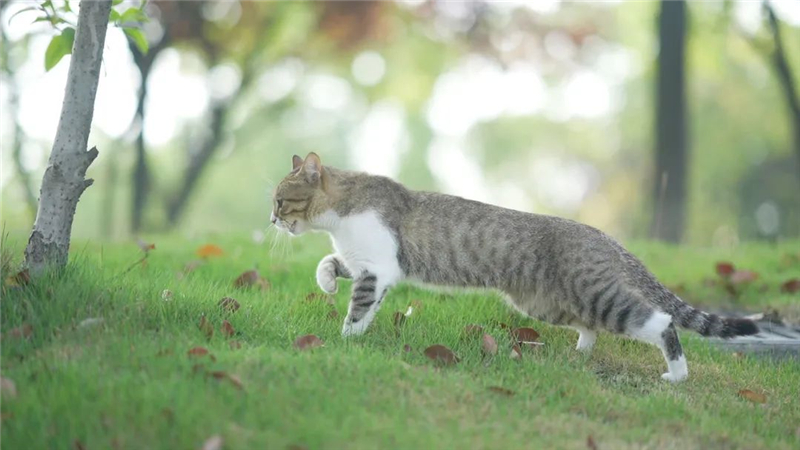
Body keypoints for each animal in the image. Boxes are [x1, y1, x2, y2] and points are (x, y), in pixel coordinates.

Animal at [271, 153, 758, 382]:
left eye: (278, 200)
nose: (271, 220)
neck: (342, 211)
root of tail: (605, 237)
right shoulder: (364, 263)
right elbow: (329, 263)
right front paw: (327, 283)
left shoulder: (379, 269)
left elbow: (359, 309)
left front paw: (345, 342)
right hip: (546, 304)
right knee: (590, 327)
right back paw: (578, 353)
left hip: (597, 296)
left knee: (660, 322)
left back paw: (677, 375)